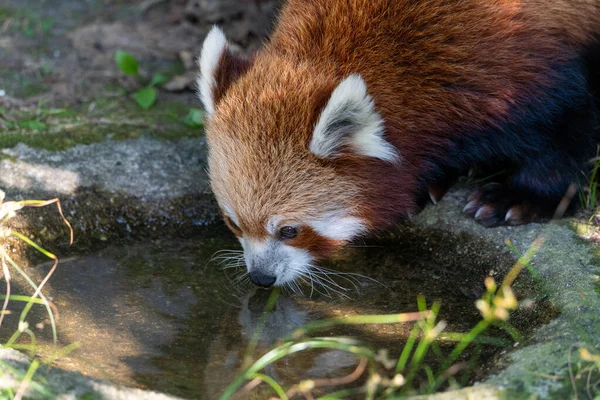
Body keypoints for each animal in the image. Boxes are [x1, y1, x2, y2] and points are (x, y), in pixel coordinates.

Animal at [198, 0, 600, 288]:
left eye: (289, 230)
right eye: (233, 223)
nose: (261, 278)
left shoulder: (521, 59)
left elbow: (563, 126)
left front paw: (522, 197)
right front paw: (431, 182)